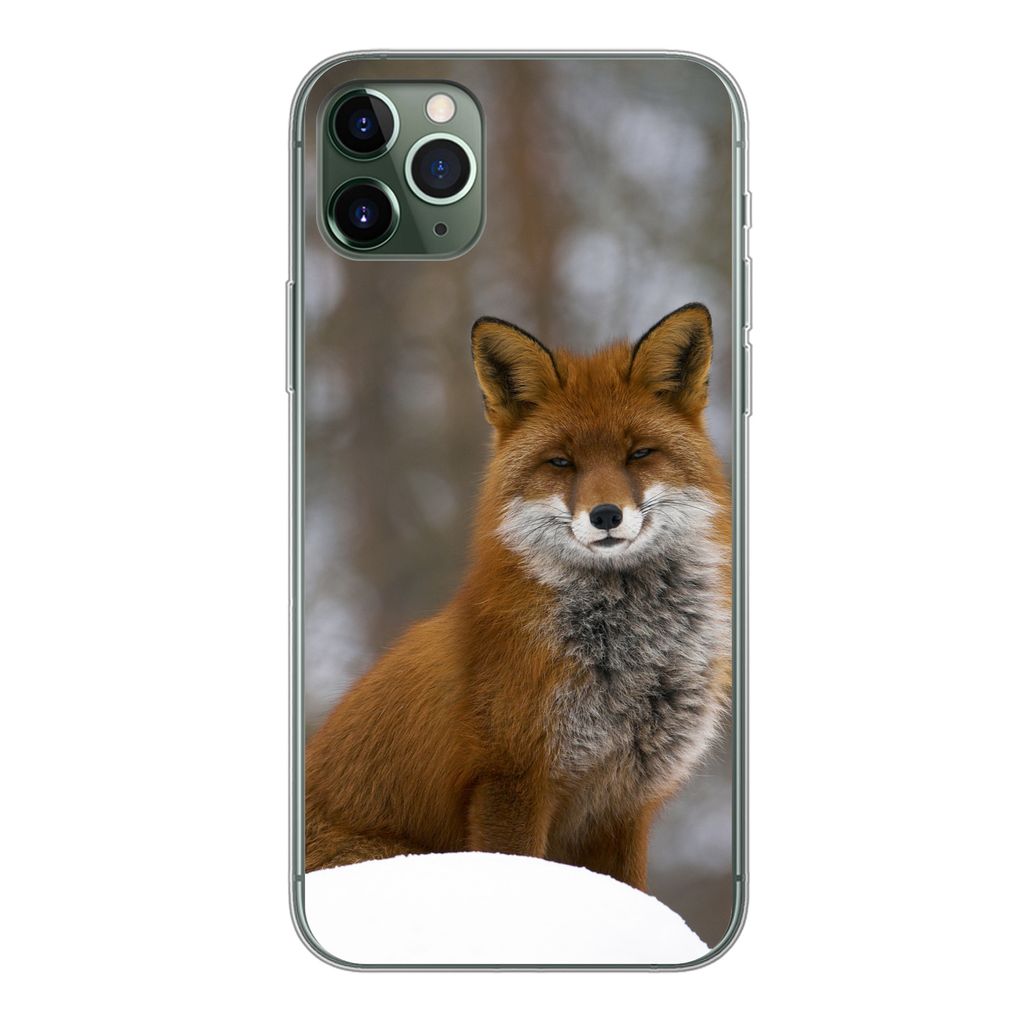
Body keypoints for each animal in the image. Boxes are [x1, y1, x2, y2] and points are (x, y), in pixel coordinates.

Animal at [304, 303, 731, 891]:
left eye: (640, 453)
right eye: (561, 462)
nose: (605, 515)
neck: (629, 662)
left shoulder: (624, 803)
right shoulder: (511, 780)